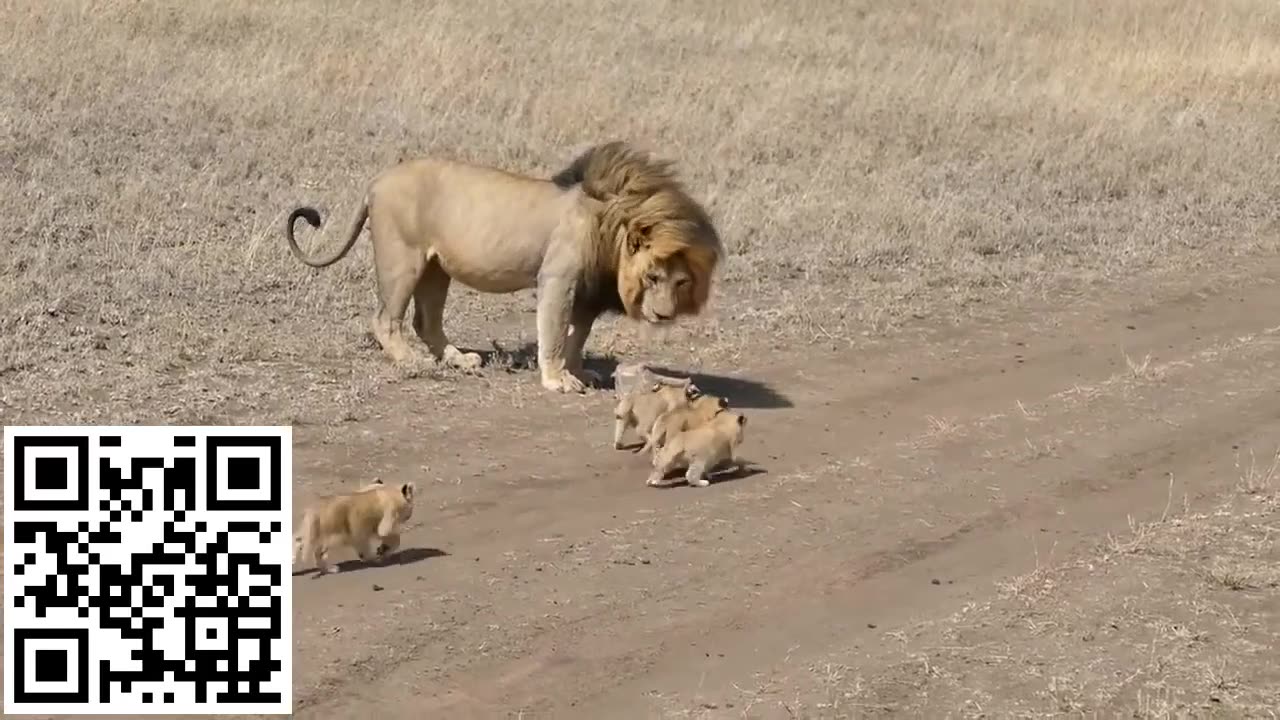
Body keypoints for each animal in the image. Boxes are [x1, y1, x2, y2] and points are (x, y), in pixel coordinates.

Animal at [288, 140, 721, 392]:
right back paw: (412, 360)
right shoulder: (558, 278)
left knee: (426, 321)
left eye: (681, 282)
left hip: (436, 267)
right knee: (385, 320)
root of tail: (376, 181)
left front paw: (579, 372)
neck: (611, 224)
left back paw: (459, 360)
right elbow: (554, 333)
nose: (663, 315)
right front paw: (557, 380)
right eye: (652, 276)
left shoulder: (587, 293)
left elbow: (577, 337)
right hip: (403, 257)